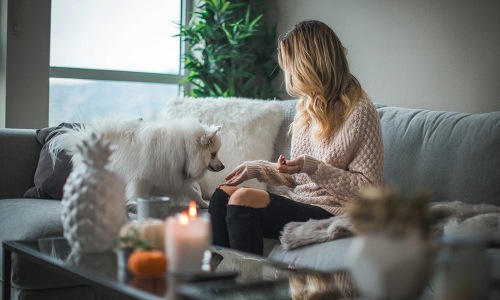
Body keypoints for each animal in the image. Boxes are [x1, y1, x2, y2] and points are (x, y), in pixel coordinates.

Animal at [48, 116, 225, 210]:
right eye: (213, 154)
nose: (223, 166)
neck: (184, 148)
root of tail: (83, 139)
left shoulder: (175, 178)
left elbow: (194, 193)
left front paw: (204, 204)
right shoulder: (143, 179)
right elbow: (138, 194)